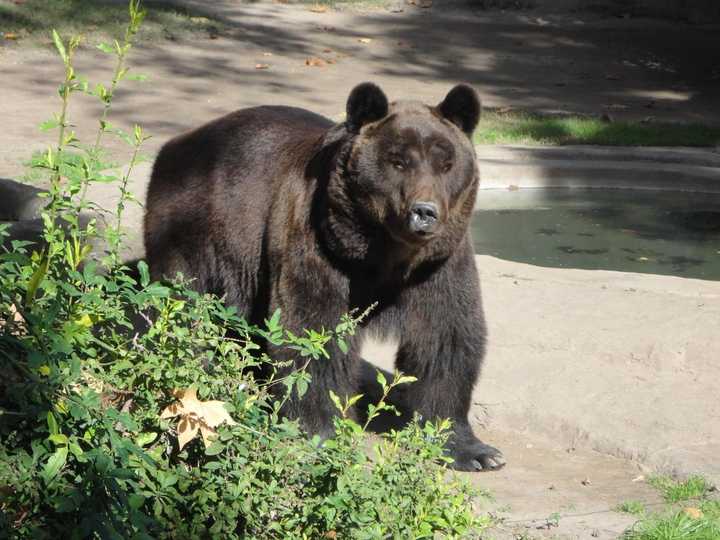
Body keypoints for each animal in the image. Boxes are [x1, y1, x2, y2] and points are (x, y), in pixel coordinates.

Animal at [145, 82, 506, 470]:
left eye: (445, 163)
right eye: (398, 161)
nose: (424, 212)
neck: (383, 252)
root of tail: (176, 143)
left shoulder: (439, 264)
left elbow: (444, 338)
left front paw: (472, 449)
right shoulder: (320, 245)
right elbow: (313, 334)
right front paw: (320, 434)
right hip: (198, 228)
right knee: (185, 306)